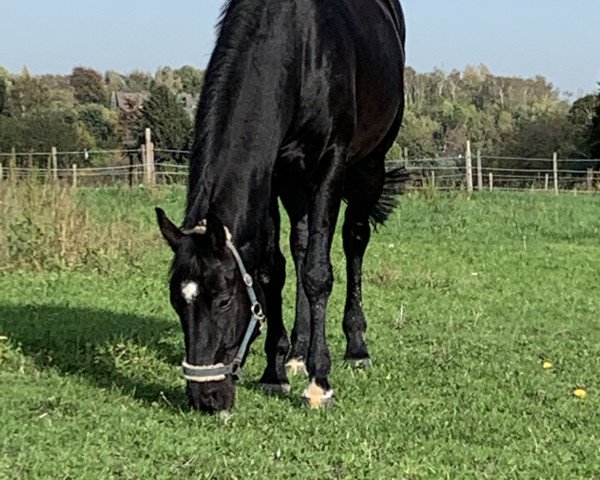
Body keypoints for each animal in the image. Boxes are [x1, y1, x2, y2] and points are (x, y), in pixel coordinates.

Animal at [155, 0, 408, 412]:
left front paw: (320, 383)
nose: (205, 398)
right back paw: (298, 353)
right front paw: (275, 373)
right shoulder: (272, 175)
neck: (301, 48)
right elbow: (273, 270)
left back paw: (356, 347)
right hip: (295, 184)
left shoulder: (329, 165)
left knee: (354, 239)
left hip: (369, 165)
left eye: (223, 301)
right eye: (178, 301)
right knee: (302, 244)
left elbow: (319, 274)